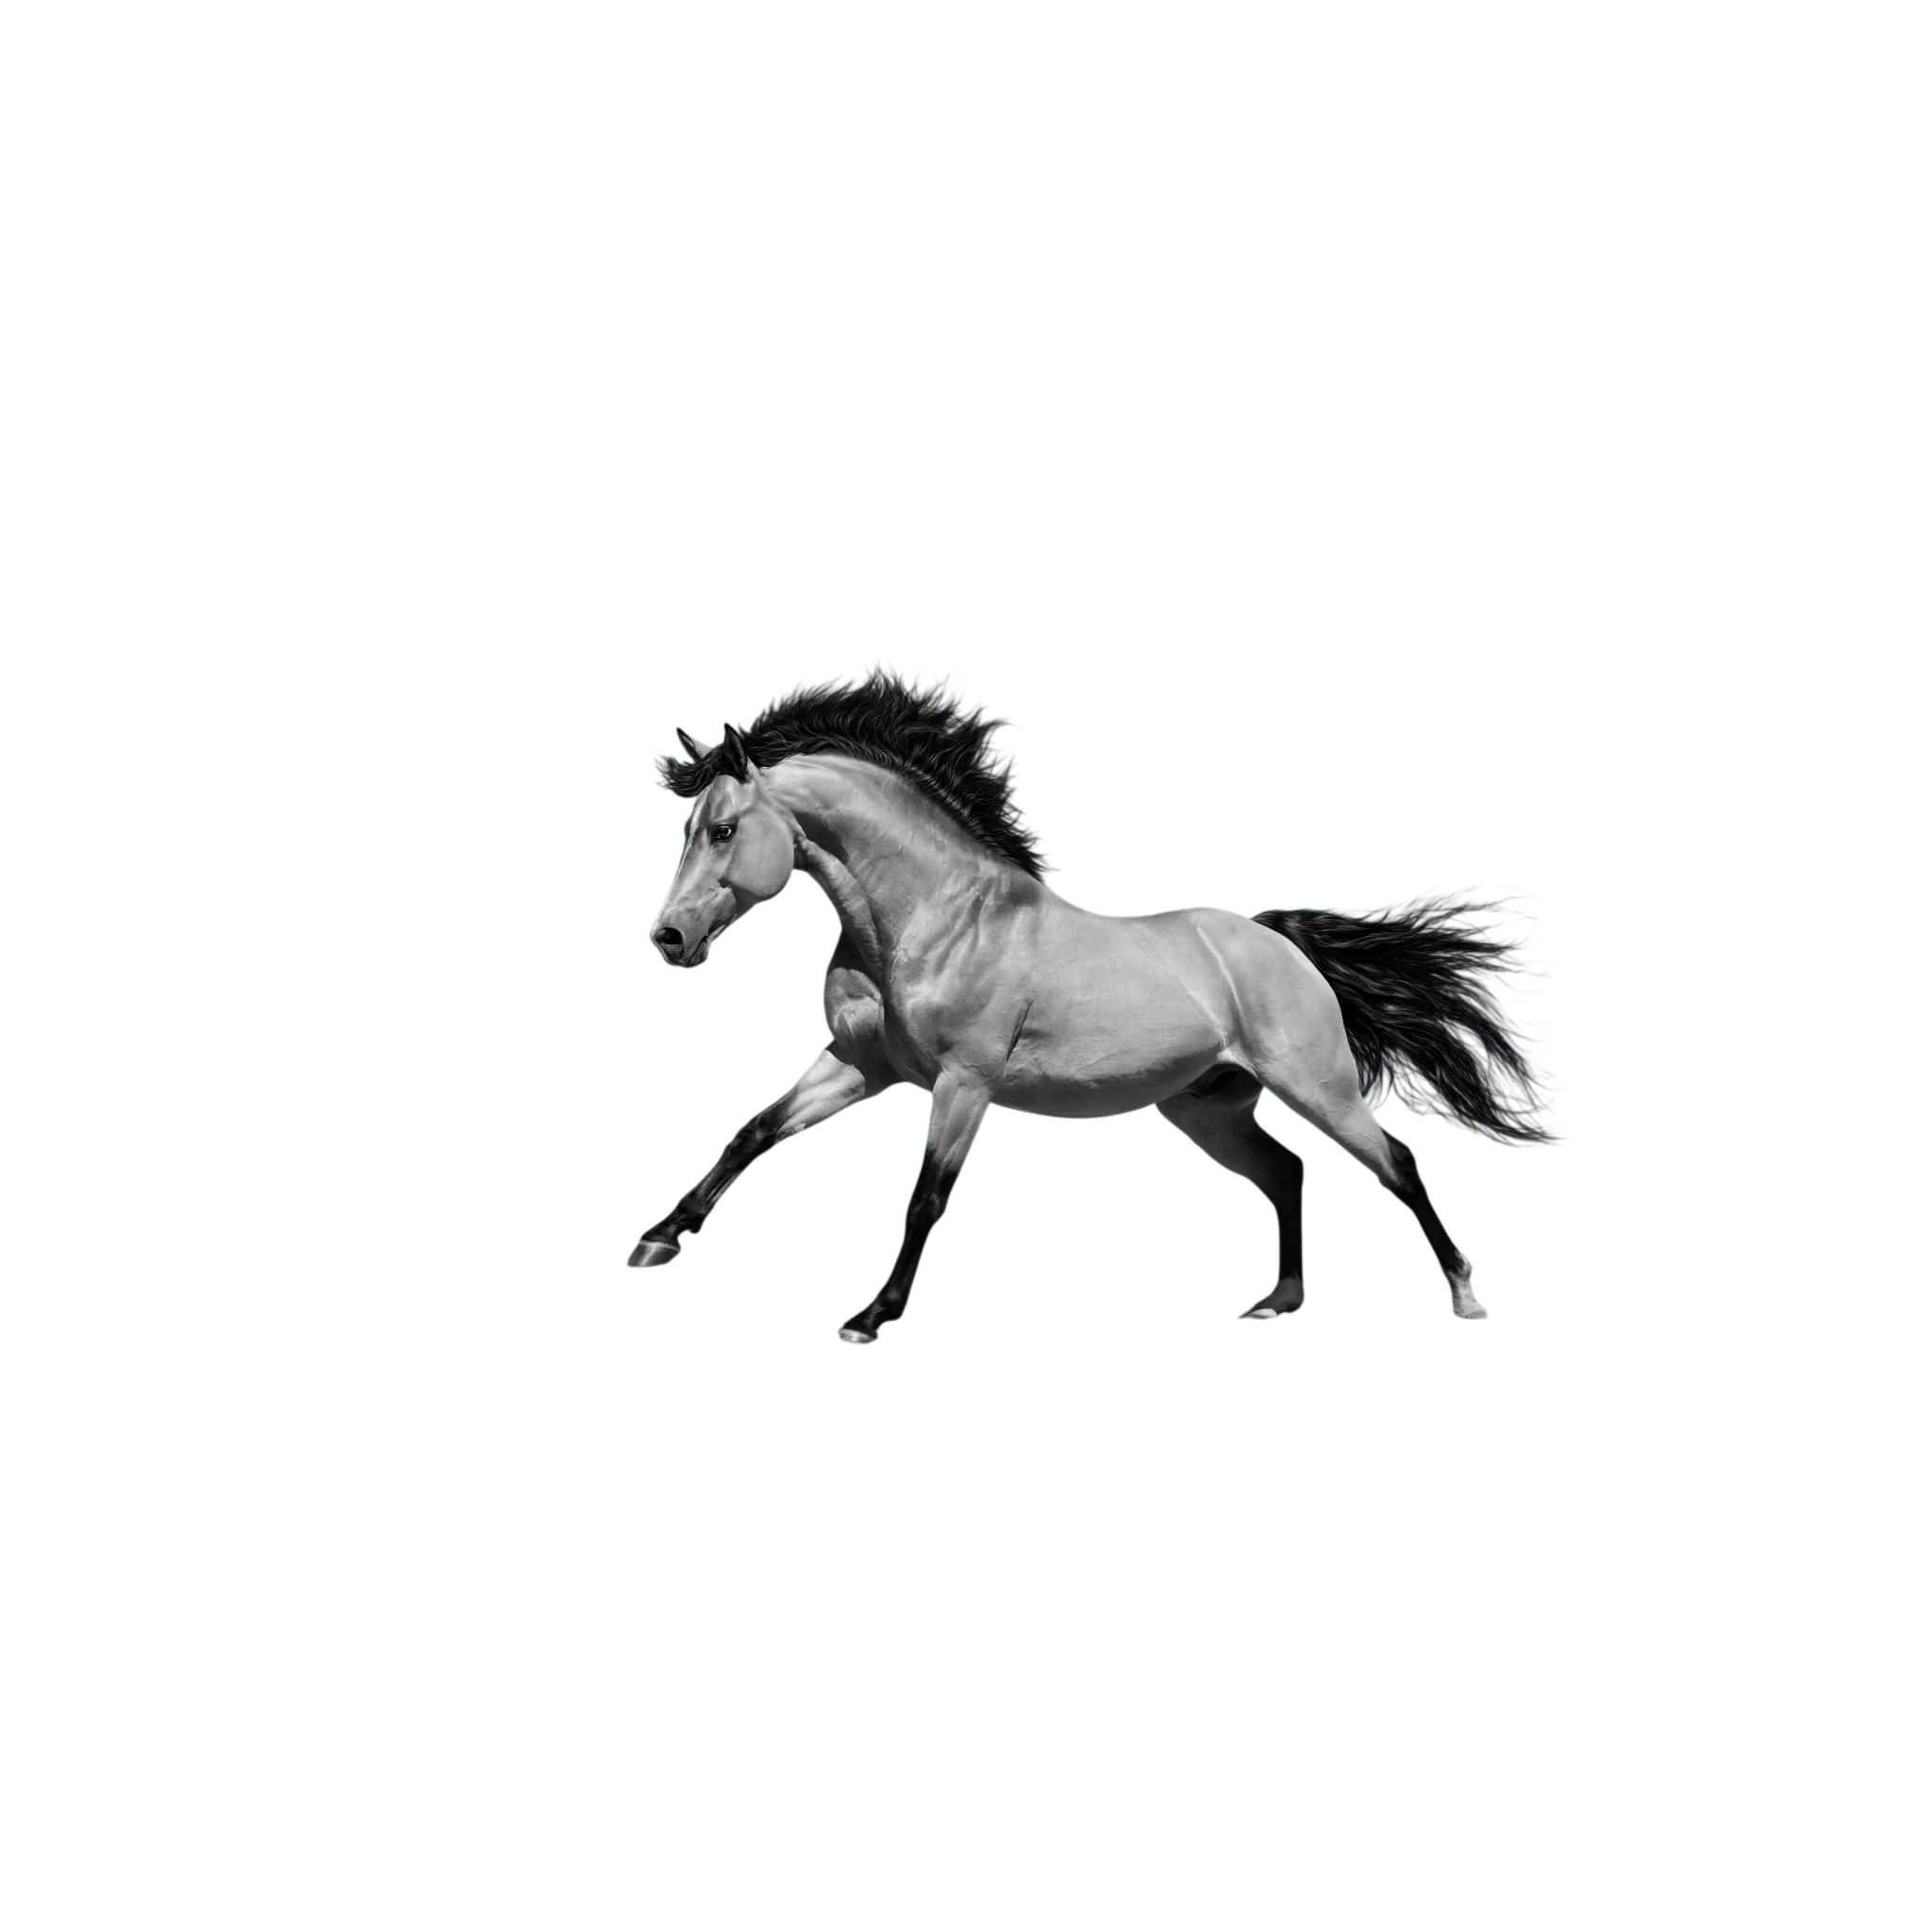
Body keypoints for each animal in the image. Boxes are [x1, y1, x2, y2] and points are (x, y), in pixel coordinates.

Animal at [628, 679, 1527, 1346]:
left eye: (724, 829)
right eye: (694, 830)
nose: (668, 936)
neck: (929, 920)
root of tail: (1276, 941)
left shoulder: (963, 1086)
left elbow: (927, 1192)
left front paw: (869, 1320)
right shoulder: (862, 1070)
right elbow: (755, 1131)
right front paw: (659, 1241)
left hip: (1322, 1088)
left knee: (1395, 1164)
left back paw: (1467, 1301)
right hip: (1208, 1111)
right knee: (1288, 1172)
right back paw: (1278, 1303)